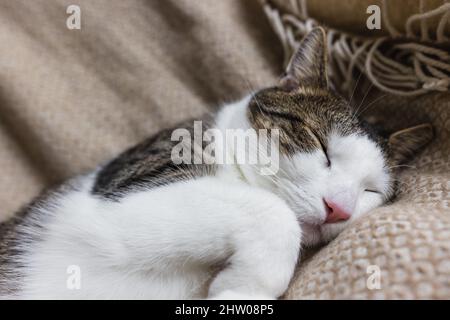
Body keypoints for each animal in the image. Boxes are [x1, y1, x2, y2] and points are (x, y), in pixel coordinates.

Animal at [0, 28, 434, 300]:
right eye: (321, 145)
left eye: (371, 191)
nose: (338, 209)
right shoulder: (121, 197)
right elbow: (273, 213)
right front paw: (242, 287)